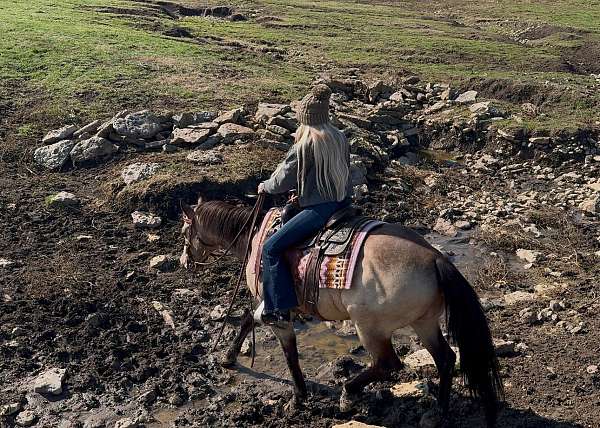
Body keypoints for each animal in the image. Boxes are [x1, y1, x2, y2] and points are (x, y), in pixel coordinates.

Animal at [180, 198, 504, 428]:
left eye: (186, 231)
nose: (185, 262)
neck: (256, 236)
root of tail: (436, 259)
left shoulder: (274, 309)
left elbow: (287, 351)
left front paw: (297, 398)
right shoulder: (268, 305)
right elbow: (249, 320)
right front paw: (229, 357)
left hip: (371, 327)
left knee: (388, 364)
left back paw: (348, 394)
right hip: (423, 322)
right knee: (445, 359)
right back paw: (439, 411)